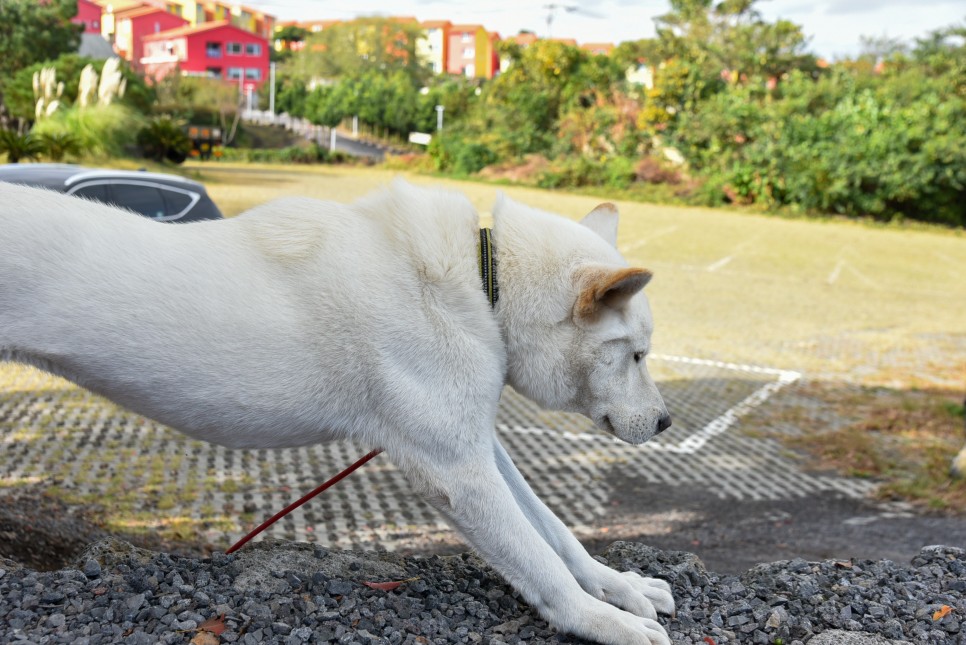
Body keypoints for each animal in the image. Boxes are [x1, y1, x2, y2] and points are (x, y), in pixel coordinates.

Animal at [0, 177, 676, 644]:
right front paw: (600, 621)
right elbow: (540, 562)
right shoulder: (457, 472)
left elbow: (556, 534)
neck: (483, 280)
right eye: (637, 355)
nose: (667, 422)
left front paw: (618, 587)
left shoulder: (475, 443)